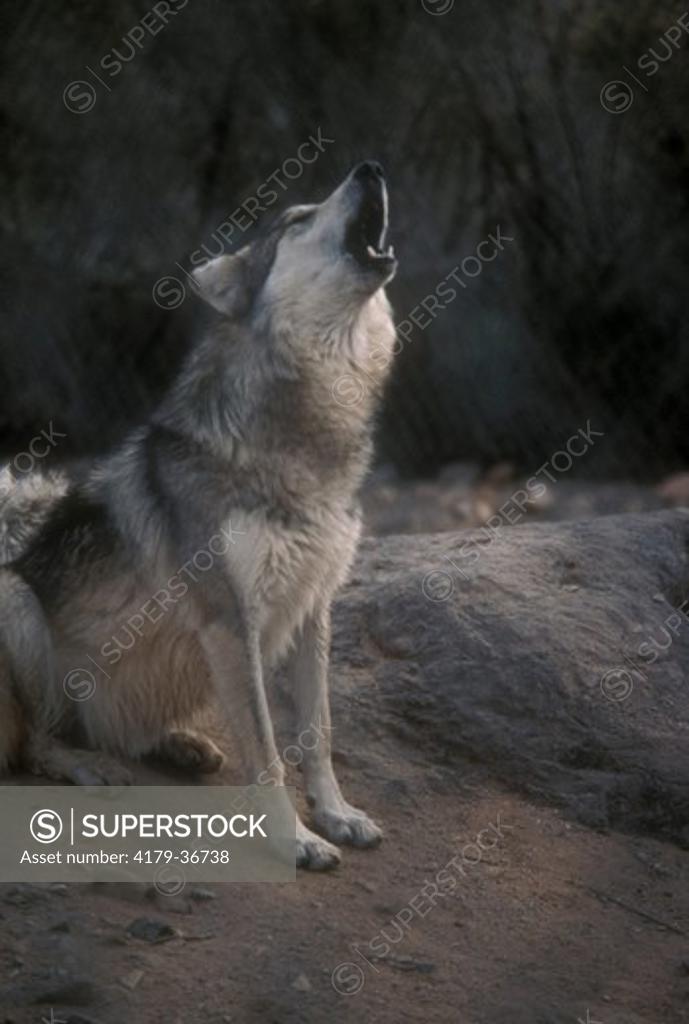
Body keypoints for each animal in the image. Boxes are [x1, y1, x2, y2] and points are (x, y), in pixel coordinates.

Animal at [0, 161, 397, 869]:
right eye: (297, 219)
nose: (370, 168)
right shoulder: (229, 619)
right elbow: (266, 750)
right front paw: (296, 839)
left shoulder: (314, 609)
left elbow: (318, 734)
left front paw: (336, 816)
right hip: (13, 597)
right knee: (38, 744)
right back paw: (91, 768)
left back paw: (179, 744)